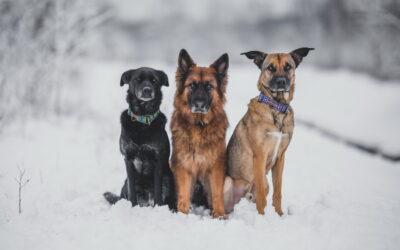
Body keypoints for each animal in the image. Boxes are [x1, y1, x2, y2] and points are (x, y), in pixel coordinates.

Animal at [104, 66, 176, 209]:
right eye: (138, 79)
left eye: (154, 80)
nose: (147, 90)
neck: (142, 120)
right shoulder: (128, 158)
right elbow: (132, 191)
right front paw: (132, 207)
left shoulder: (157, 160)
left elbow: (158, 190)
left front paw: (158, 208)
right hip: (125, 182)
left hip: (168, 179)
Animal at [170, 48, 230, 217]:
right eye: (192, 85)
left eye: (209, 86)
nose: (199, 104)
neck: (199, 125)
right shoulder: (183, 165)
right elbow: (183, 194)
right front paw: (183, 214)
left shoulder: (216, 166)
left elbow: (217, 194)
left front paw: (219, 215)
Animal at [225, 47, 312, 215]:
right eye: (270, 68)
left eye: (288, 67)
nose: (281, 82)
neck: (276, 107)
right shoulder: (260, 155)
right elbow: (260, 191)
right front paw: (262, 216)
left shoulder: (280, 158)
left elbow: (278, 191)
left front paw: (279, 214)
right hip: (227, 182)